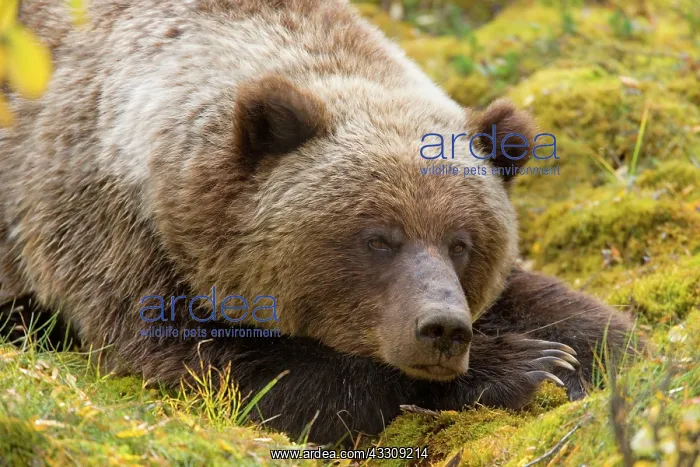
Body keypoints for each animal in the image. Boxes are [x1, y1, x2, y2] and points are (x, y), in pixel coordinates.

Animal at [0, 0, 636, 445]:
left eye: (462, 243)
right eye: (378, 238)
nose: (444, 329)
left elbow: (559, 307)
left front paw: (594, 354)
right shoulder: (114, 236)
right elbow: (233, 370)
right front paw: (525, 364)